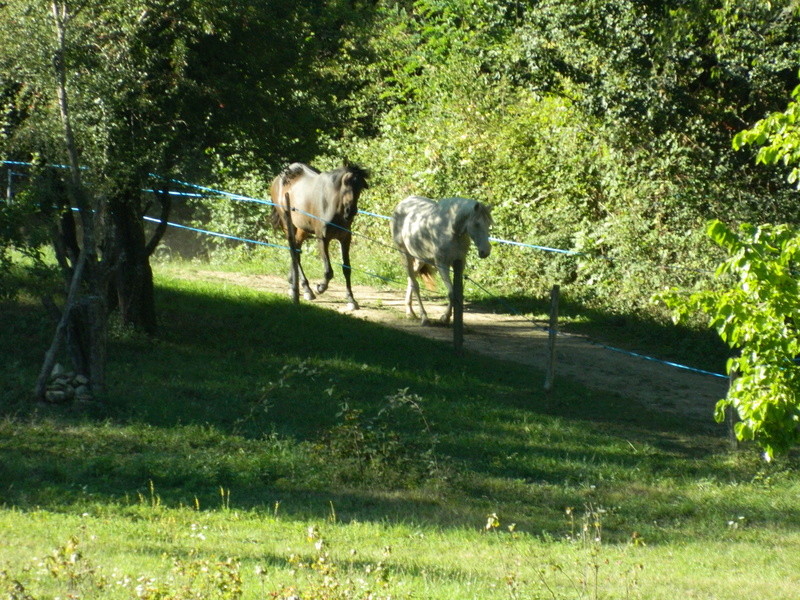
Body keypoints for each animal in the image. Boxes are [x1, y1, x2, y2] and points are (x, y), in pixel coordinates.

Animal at [268, 163, 368, 310]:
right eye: (346, 183)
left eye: (360, 187)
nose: (350, 212)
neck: (333, 206)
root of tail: (280, 178)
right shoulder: (322, 239)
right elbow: (328, 271)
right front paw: (320, 287)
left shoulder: (345, 239)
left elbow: (347, 268)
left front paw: (351, 299)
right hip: (287, 223)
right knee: (293, 251)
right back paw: (305, 289)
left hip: (302, 229)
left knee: (296, 250)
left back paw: (294, 285)